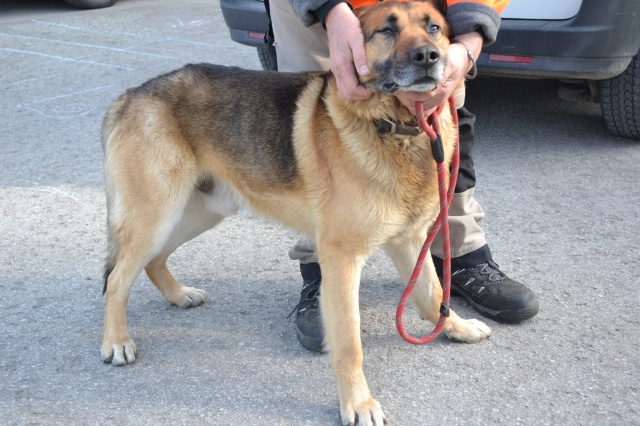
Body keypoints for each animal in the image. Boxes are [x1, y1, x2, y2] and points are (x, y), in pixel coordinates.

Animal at [100, 0, 491, 423]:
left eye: (433, 28)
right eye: (386, 31)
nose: (428, 57)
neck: (396, 127)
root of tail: (131, 95)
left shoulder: (408, 241)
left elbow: (433, 293)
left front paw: (455, 327)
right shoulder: (341, 259)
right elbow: (349, 343)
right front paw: (358, 404)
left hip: (198, 212)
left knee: (153, 261)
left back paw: (177, 295)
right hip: (157, 215)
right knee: (118, 278)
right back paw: (116, 341)